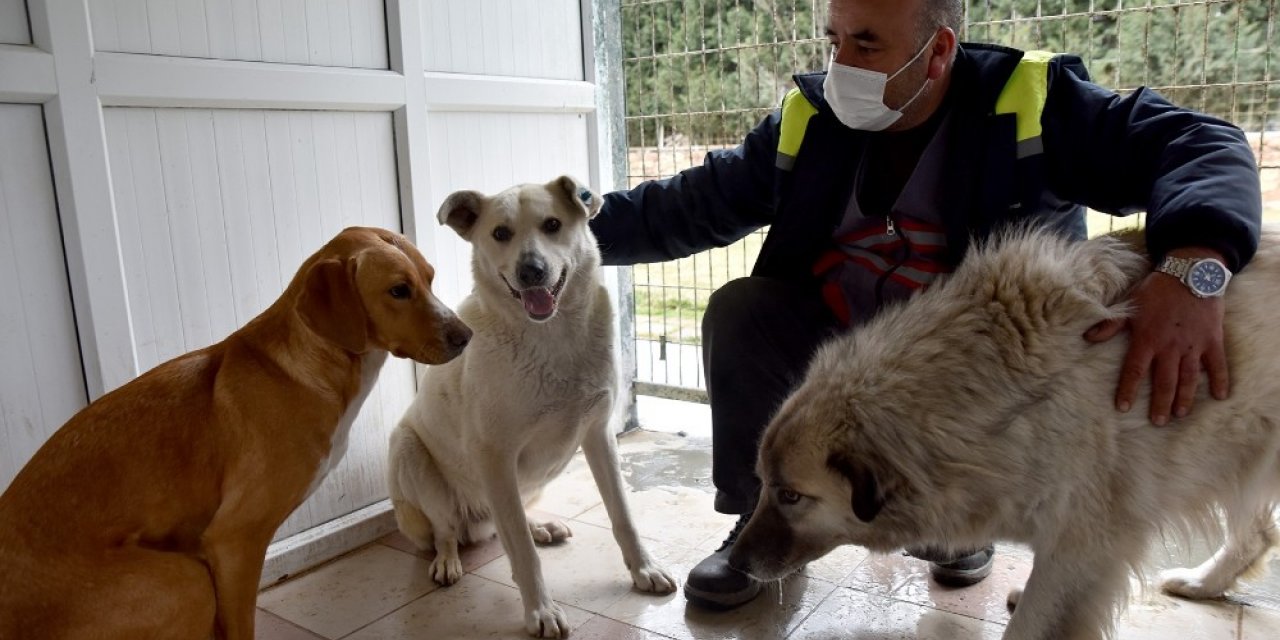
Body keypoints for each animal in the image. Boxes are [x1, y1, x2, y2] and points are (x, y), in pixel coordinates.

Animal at [0, 227, 471, 640]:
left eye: (430, 278)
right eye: (399, 290)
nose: (466, 335)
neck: (309, 363)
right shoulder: (235, 541)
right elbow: (240, 626)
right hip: (186, 580)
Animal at [384, 176, 675, 640]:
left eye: (552, 224)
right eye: (500, 233)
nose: (531, 271)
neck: (551, 336)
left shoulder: (599, 437)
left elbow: (623, 516)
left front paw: (644, 570)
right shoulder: (495, 457)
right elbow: (520, 551)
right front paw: (541, 610)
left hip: (527, 483)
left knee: (508, 521)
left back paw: (540, 527)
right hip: (409, 452)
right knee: (450, 531)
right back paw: (449, 560)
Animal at [727, 225, 1274, 640]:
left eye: (791, 496)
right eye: (763, 486)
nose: (736, 562)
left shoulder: (1083, 545)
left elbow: (1035, 621)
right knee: (1260, 532)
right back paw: (1203, 584)